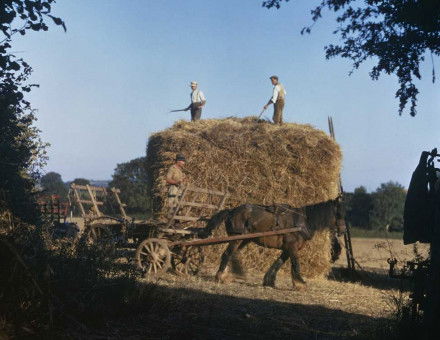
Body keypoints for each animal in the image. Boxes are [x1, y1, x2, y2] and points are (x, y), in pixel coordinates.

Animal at [200, 198, 348, 288]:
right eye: (339, 214)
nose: (343, 230)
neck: (302, 222)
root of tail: (231, 211)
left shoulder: (287, 249)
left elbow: (278, 263)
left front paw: (269, 281)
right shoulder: (292, 247)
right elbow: (295, 264)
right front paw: (300, 283)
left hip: (245, 239)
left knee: (233, 254)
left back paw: (231, 274)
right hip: (236, 238)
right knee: (227, 254)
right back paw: (220, 276)